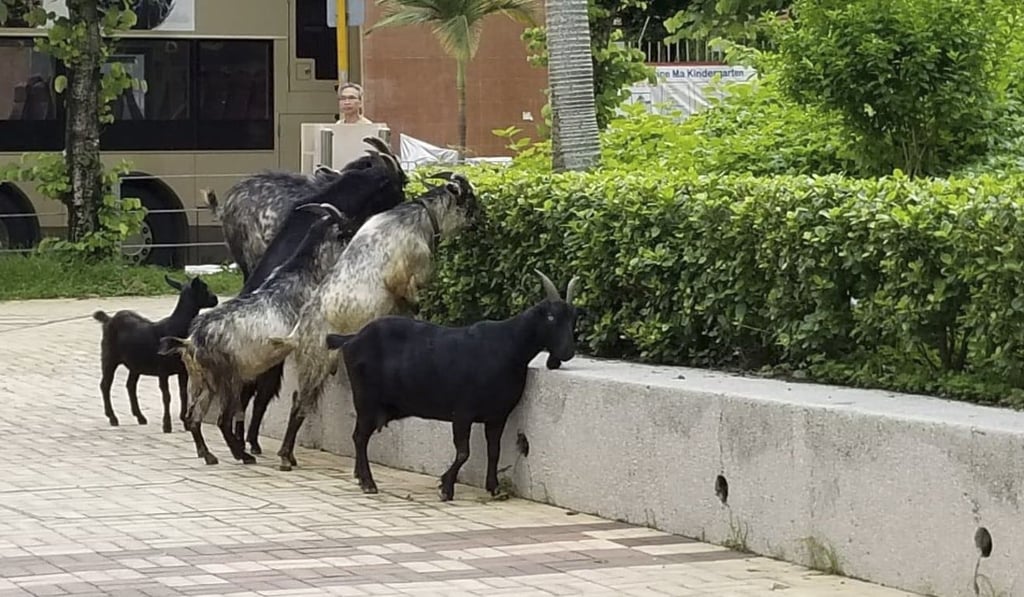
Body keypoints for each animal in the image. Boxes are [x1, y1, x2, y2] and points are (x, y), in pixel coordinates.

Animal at [93, 275, 219, 433]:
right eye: (204, 288)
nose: (215, 299)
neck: (175, 328)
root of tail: (109, 319)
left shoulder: (182, 370)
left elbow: (183, 394)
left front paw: (185, 423)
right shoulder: (162, 370)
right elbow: (167, 396)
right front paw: (167, 425)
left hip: (135, 363)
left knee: (130, 385)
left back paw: (140, 417)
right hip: (109, 356)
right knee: (105, 385)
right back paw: (113, 418)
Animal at [159, 203, 358, 465]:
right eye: (347, 230)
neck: (303, 273)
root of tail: (191, 342)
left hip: (202, 381)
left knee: (194, 417)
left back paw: (208, 454)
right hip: (228, 378)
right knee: (223, 419)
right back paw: (241, 454)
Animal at [267, 172, 482, 472]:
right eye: (469, 197)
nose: (482, 217)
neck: (418, 217)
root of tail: (298, 332)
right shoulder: (406, 282)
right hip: (316, 360)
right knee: (301, 400)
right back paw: (286, 456)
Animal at [325, 270, 580, 501]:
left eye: (573, 318)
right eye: (550, 317)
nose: (567, 352)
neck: (510, 346)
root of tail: (351, 338)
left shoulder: (497, 416)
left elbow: (494, 451)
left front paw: (494, 488)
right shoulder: (463, 412)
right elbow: (463, 452)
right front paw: (446, 488)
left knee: (360, 437)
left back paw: (360, 477)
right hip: (365, 399)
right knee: (359, 437)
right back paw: (368, 483)